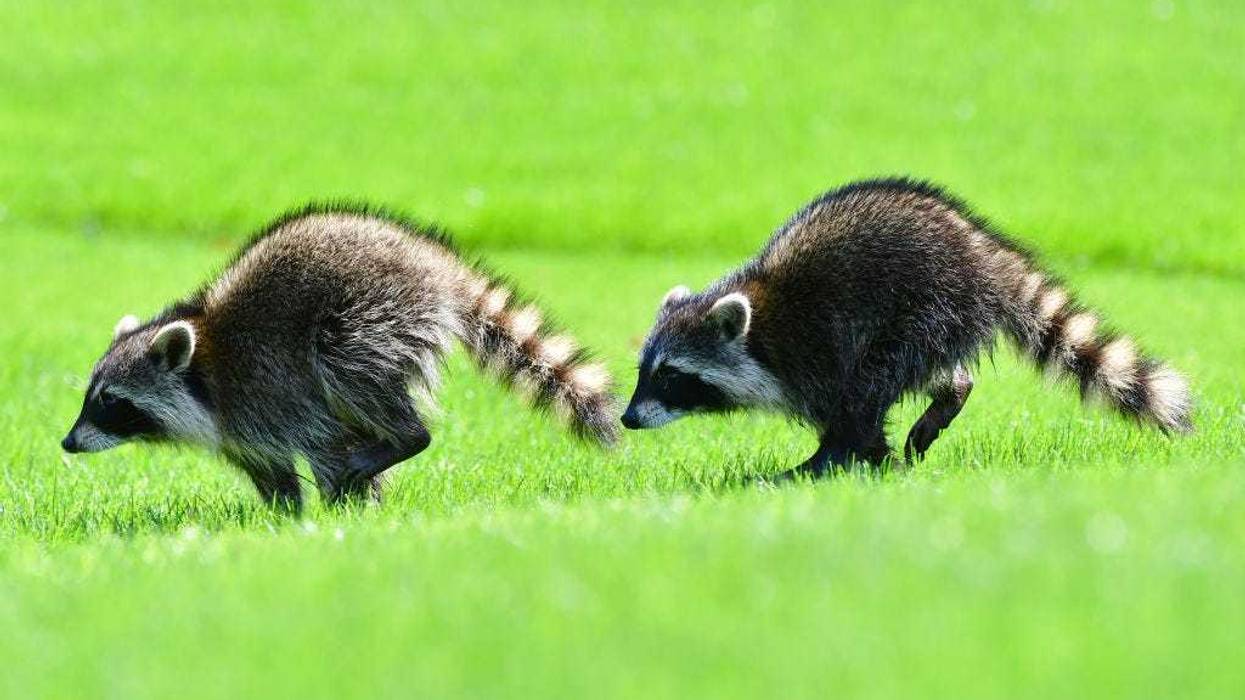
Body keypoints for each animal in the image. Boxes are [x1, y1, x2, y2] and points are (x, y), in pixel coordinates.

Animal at [61, 204, 617, 511]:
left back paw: (403, 437)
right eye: (91, 396)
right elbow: (272, 475)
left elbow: (324, 443)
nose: (68, 442)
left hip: (372, 315)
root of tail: (433, 262)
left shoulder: (270, 391)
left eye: (111, 401)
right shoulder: (241, 428)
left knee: (348, 369)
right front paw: (284, 516)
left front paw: (343, 511)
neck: (205, 370)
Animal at [622, 178, 1192, 478]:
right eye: (645, 370)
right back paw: (951, 391)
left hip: (929, 304)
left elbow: (850, 408)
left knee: (877, 372)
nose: (628, 418)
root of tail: (980, 248)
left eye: (671, 375)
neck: (760, 331)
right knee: (933, 371)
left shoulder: (815, 347)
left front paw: (845, 456)